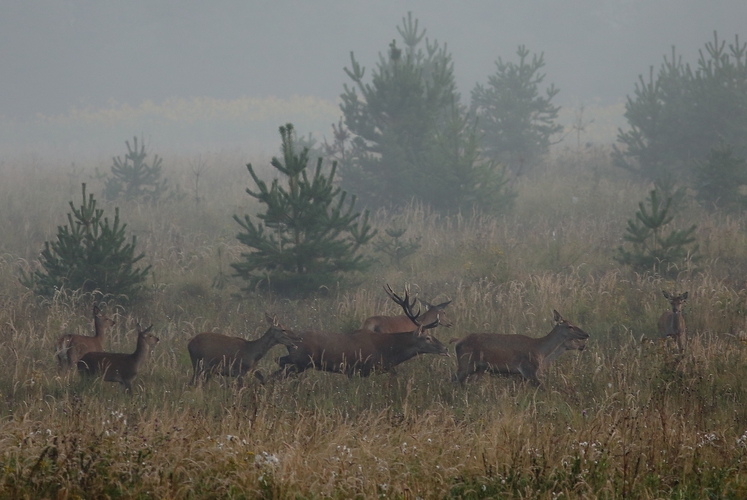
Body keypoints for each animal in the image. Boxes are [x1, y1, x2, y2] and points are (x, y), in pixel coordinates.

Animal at [276, 284, 448, 376]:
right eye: (427, 337)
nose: (445, 348)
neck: (386, 352)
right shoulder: (357, 369)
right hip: (302, 360)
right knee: (280, 364)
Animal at [450, 308, 592, 386]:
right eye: (570, 326)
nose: (586, 335)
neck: (541, 352)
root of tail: (457, 341)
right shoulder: (528, 369)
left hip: (478, 369)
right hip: (465, 363)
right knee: (454, 381)